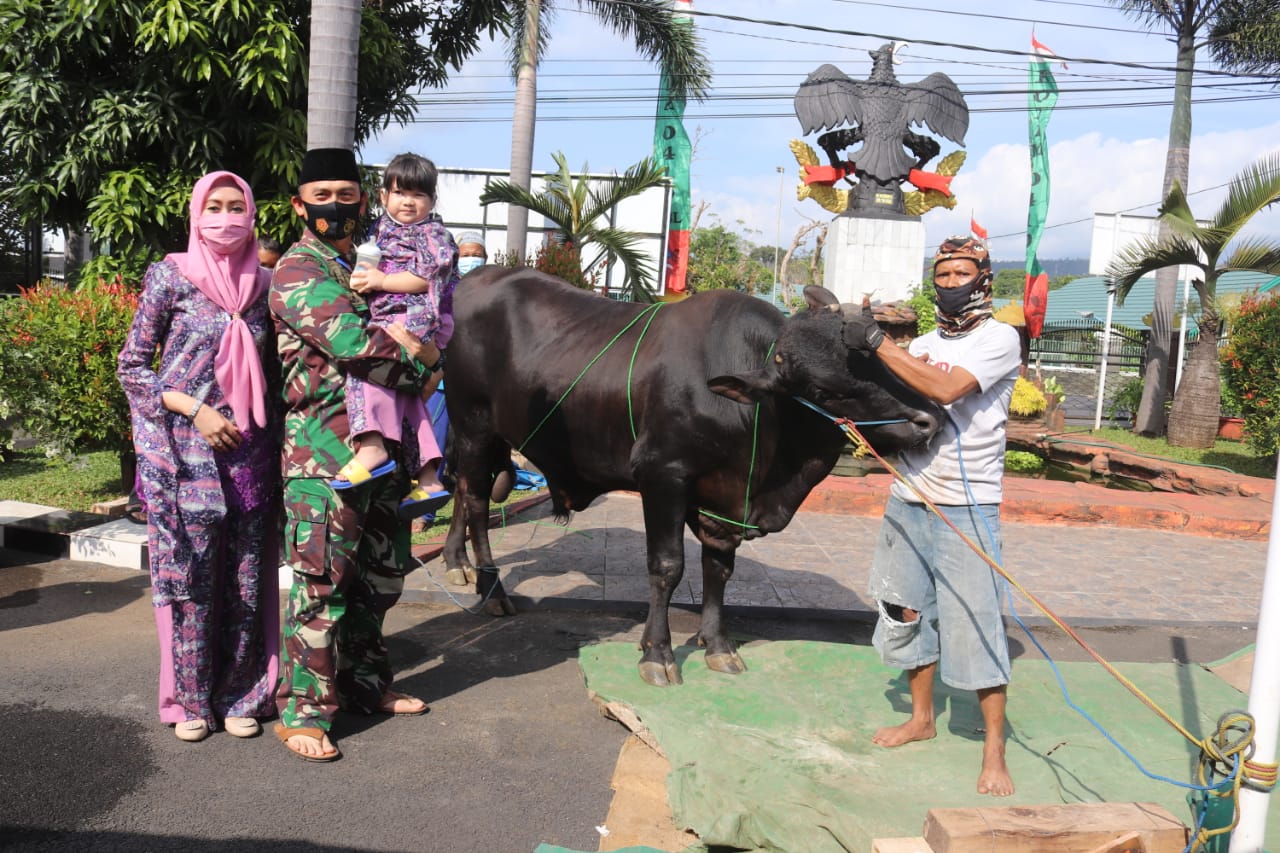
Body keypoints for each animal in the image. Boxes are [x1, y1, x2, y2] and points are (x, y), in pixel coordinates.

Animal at [440, 268, 942, 686]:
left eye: (878, 359)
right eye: (823, 390)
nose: (928, 419)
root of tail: (475, 280)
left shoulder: (723, 501)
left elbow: (718, 569)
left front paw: (717, 644)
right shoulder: (663, 476)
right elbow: (667, 567)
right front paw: (657, 653)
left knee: (463, 492)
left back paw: (456, 562)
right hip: (472, 426)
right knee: (477, 501)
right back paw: (491, 588)